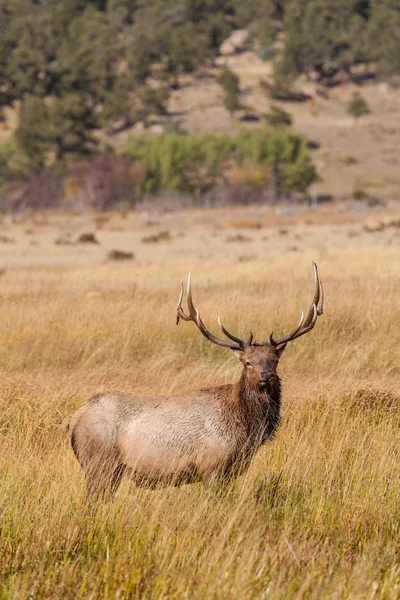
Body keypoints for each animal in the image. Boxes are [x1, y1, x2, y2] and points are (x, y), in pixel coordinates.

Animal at [70, 264, 324, 494]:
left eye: (275, 360)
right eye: (247, 362)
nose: (266, 375)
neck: (245, 429)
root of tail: (73, 422)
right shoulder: (211, 467)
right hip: (100, 465)